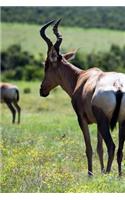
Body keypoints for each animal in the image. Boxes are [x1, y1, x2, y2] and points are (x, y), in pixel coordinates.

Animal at [39, 18, 125, 175]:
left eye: (46, 65)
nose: (42, 90)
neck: (82, 77)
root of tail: (118, 86)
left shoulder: (82, 119)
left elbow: (89, 148)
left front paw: (91, 175)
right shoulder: (97, 123)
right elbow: (99, 148)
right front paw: (100, 172)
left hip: (104, 121)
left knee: (112, 146)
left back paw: (108, 174)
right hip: (121, 121)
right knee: (120, 150)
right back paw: (118, 176)